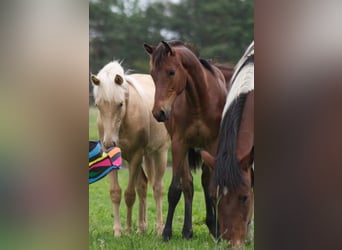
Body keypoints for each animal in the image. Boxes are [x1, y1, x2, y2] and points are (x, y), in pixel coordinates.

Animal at [91, 60, 170, 236]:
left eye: (120, 104)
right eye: (98, 105)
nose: (109, 143)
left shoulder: (135, 156)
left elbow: (129, 194)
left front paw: (127, 230)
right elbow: (116, 192)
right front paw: (118, 231)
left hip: (160, 152)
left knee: (157, 188)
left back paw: (159, 229)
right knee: (143, 185)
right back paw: (141, 228)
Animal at [143, 40, 228, 240]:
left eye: (171, 72)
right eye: (152, 74)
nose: (159, 112)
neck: (199, 100)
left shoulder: (213, 144)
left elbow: (212, 187)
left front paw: (219, 232)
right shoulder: (179, 144)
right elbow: (176, 189)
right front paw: (167, 232)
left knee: (205, 181)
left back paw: (211, 225)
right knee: (189, 184)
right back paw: (187, 230)